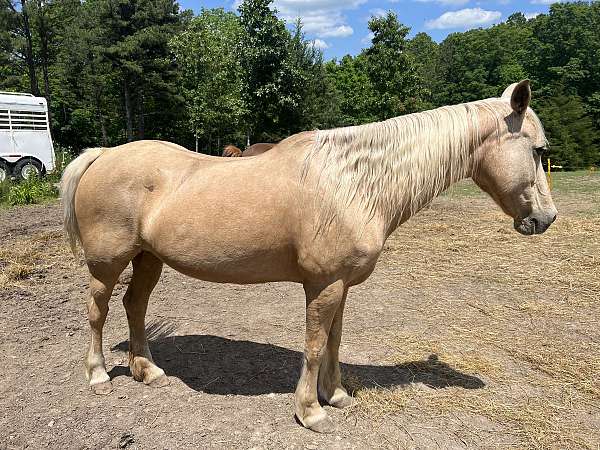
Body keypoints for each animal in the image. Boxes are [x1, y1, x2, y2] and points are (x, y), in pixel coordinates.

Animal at [61, 81, 556, 432]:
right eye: (537, 150)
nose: (546, 219)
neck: (353, 182)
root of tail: (103, 154)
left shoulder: (341, 285)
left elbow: (334, 342)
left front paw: (334, 395)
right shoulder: (323, 285)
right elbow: (315, 345)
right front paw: (311, 412)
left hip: (148, 258)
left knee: (135, 306)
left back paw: (147, 371)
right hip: (107, 263)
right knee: (98, 311)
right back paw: (99, 373)